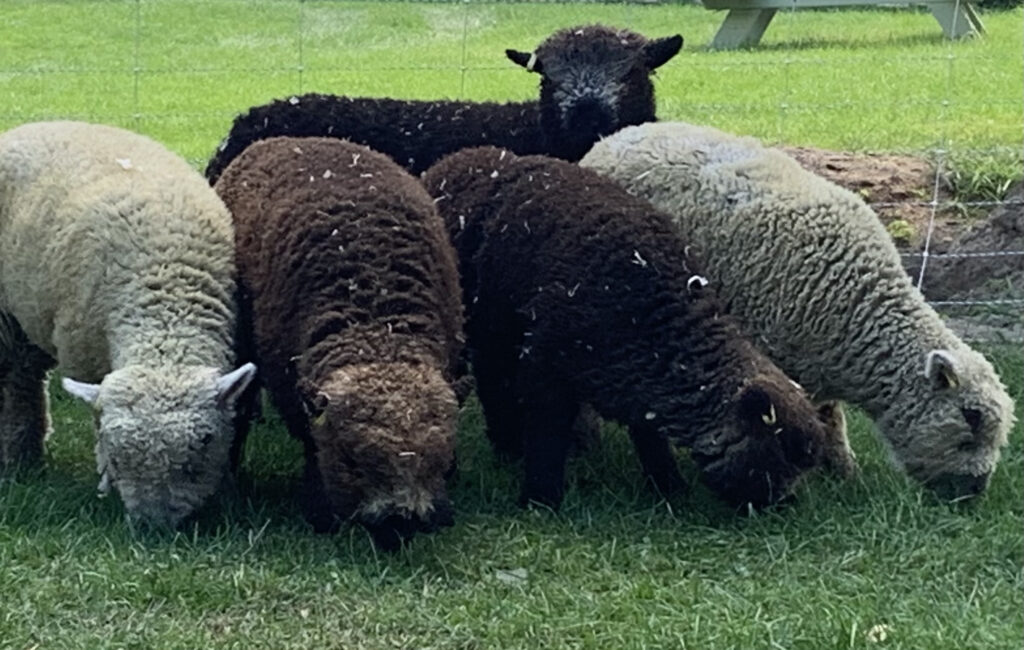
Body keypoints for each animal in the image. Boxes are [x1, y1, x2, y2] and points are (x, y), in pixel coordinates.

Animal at [0, 120, 256, 528]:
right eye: (119, 459)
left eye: (202, 448)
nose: (154, 527)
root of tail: (27, 126)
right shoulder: (84, 356)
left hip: (29, 314)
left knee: (24, 378)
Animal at [216, 136, 464, 548]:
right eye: (350, 460)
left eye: (440, 460)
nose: (402, 520)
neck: (377, 323)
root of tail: (284, 139)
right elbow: (311, 446)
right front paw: (321, 514)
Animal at [419, 148, 827, 513]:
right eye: (779, 453)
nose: (784, 505)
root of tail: (450, 162)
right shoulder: (546, 365)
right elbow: (546, 431)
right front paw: (540, 500)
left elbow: (649, 433)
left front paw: (669, 487)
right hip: (486, 327)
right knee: (492, 380)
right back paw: (506, 447)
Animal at [581, 120, 1019, 497]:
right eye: (971, 418)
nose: (974, 493)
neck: (861, 311)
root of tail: (615, 137)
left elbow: (828, 417)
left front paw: (843, 471)